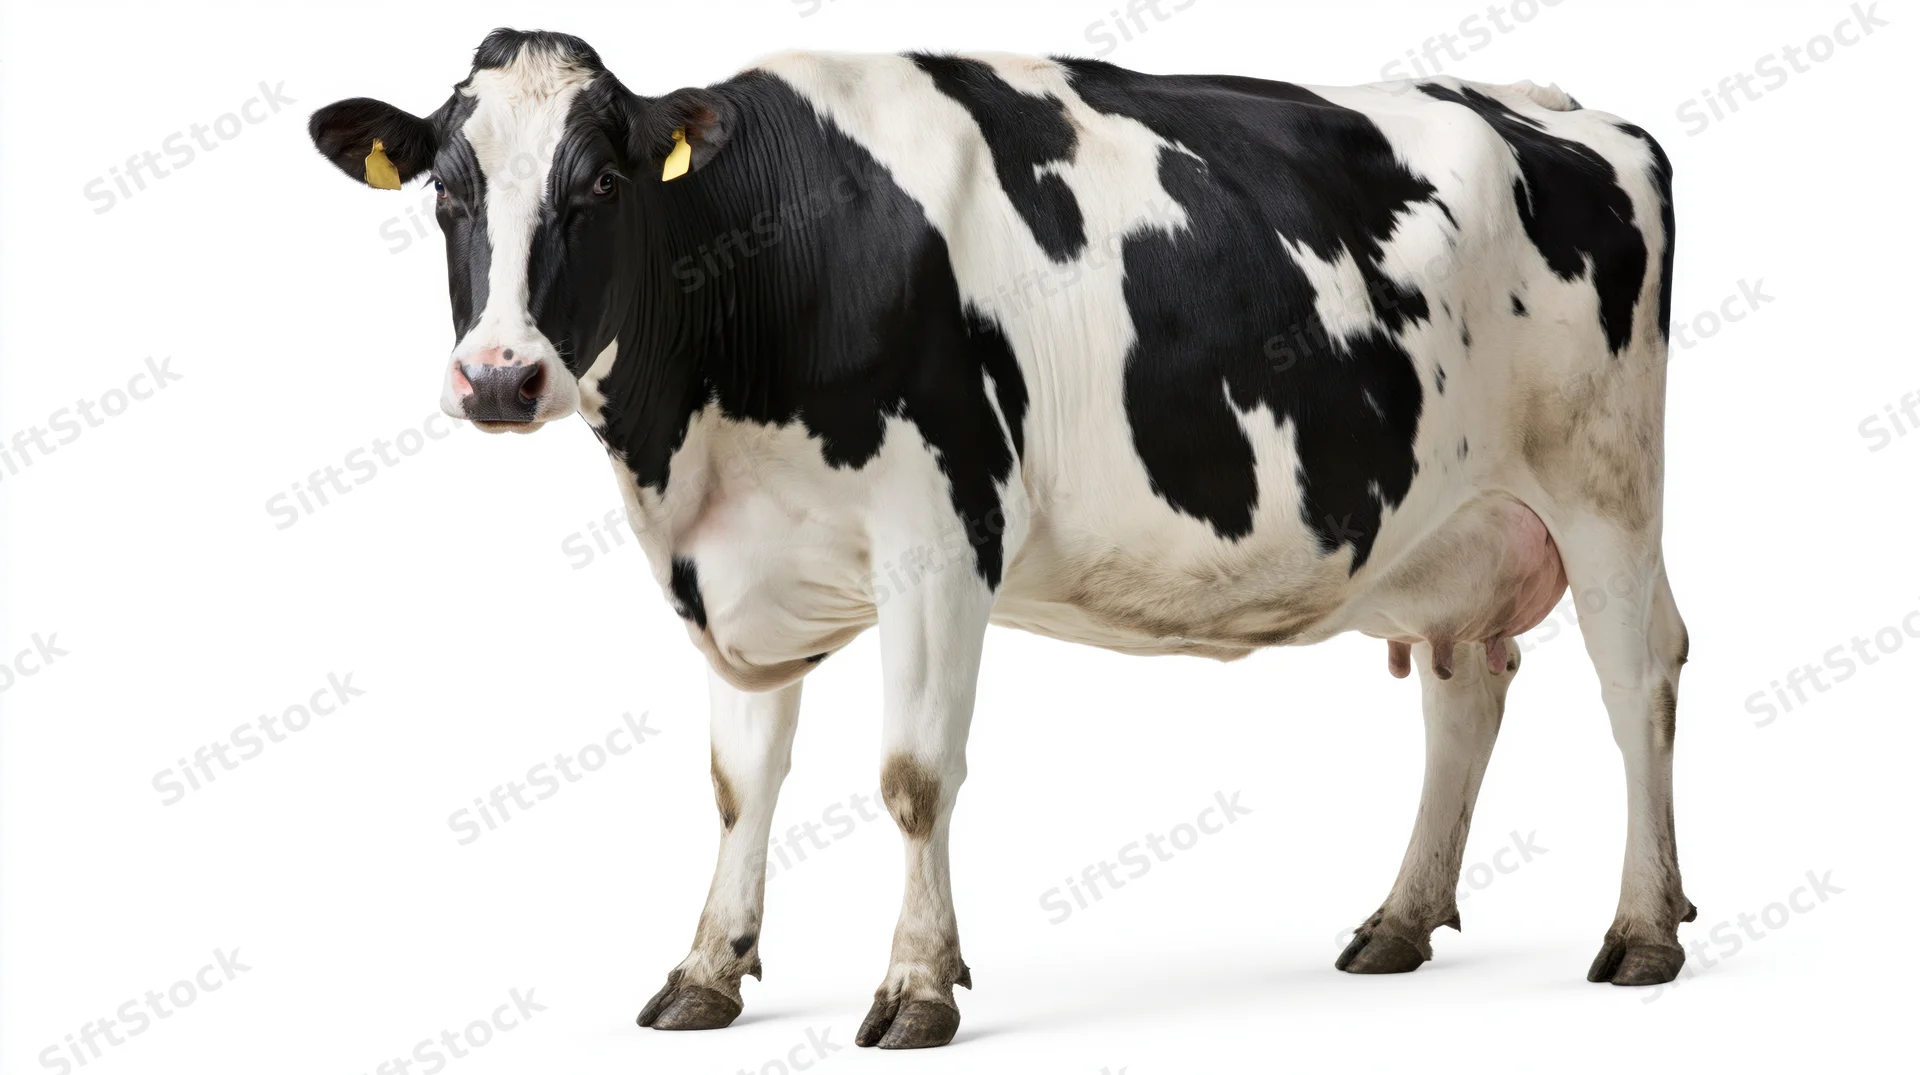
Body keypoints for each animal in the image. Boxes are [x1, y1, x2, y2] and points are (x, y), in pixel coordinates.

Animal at [309, 28, 1689, 1049]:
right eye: (449, 191)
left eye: (598, 184)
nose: (499, 375)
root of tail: (1559, 107)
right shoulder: (735, 561)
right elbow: (738, 782)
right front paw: (707, 970)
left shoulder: (941, 534)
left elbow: (913, 776)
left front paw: (918, 986)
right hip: (1454, 527)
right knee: (1466, 689)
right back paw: (1400, 921)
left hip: (1606, 483)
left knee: (1641, 677)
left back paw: (1644, 931)